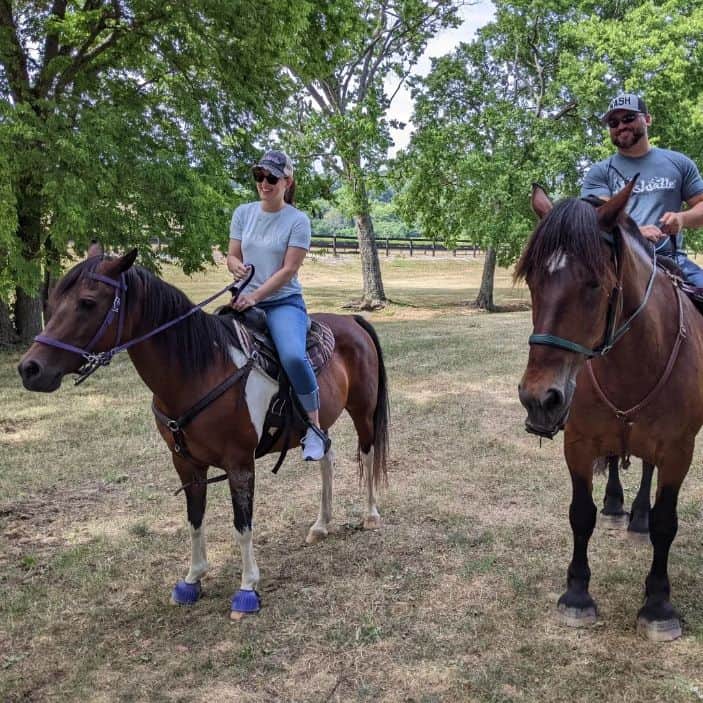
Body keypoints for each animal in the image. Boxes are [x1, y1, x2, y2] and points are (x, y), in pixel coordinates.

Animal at [17, 253, 390, 620]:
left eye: (87, 302)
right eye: (53, 301)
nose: (29, 369)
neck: (200, 369)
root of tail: (352, 320)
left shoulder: (240, 464)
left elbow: (242, 524)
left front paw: (247, 589)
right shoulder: (186, 464)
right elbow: (194, 519)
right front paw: (192, 579)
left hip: (362, 411)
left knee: (367, 452)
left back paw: (371, 515)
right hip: (319, 424)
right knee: (327, 457)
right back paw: (321, 524)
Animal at [516, 179, 703, 640]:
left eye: (595, 283)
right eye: (532, 279)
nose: (539, 399)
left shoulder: (679, 450)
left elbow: (666, 523)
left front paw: (658, 604)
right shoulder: (579, 442)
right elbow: (580, 515)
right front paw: (576, 595)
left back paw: (637, 517)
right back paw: (619, 508)